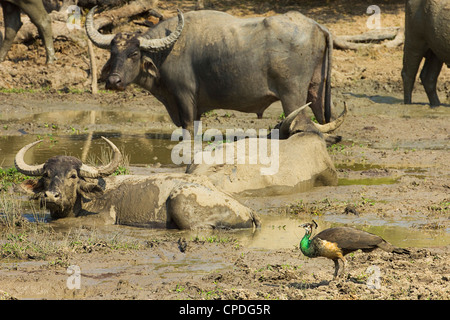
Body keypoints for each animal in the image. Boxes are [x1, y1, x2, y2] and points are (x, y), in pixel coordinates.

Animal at [15, 136, 260, 229]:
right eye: (46, 175)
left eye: (73, 176)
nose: (51, 196)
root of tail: (246, 209)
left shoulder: (103, 219)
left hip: (182, 203)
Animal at [86, 7, 334, 130]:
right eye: (113, 53)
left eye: (134, 54)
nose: (113, 82)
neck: (165, 53)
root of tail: (317, 26)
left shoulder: (184, 98)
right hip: (317, 92)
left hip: (293, 97)